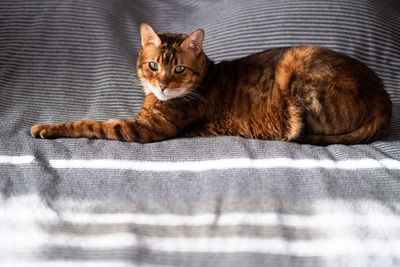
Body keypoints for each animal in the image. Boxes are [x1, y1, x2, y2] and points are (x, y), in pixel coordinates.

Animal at [30, 22, 390, 144]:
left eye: (178, 69)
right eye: (153, 65)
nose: (162, 85)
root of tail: (382, 97)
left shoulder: (143, 130)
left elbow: (89, 124)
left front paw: (47, 127)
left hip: (297, 69)